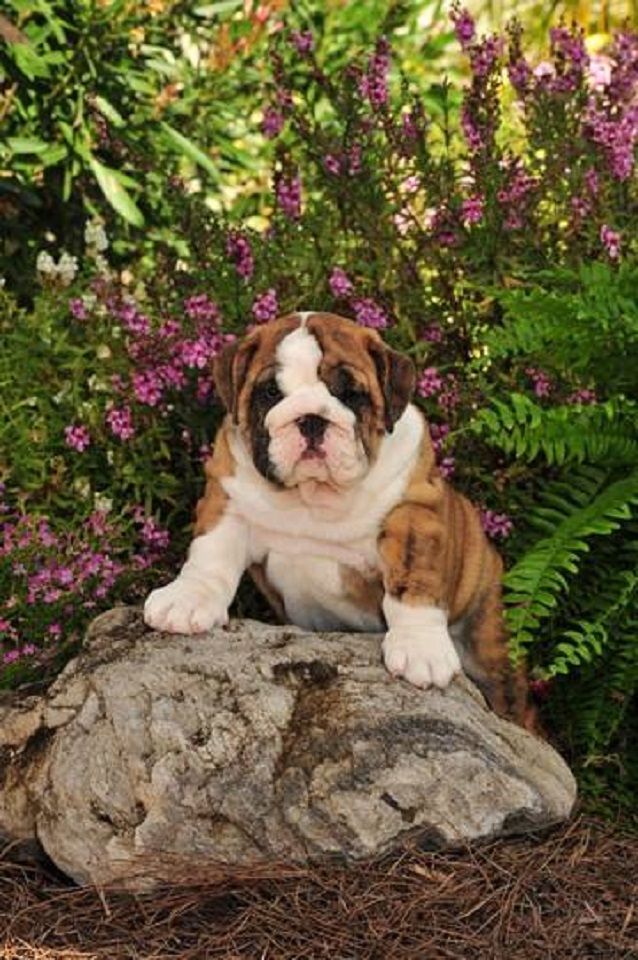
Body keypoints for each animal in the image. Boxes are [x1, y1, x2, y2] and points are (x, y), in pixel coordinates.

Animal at [144, 311, 534, 729]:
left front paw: (420, 647)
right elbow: (210, 555)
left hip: (489, 640)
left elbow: (412, 582)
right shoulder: (227, 496)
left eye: (350, 394)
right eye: (270, 393)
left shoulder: (413, 514)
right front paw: (186, 598)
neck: (312, 498)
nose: (311, 419)